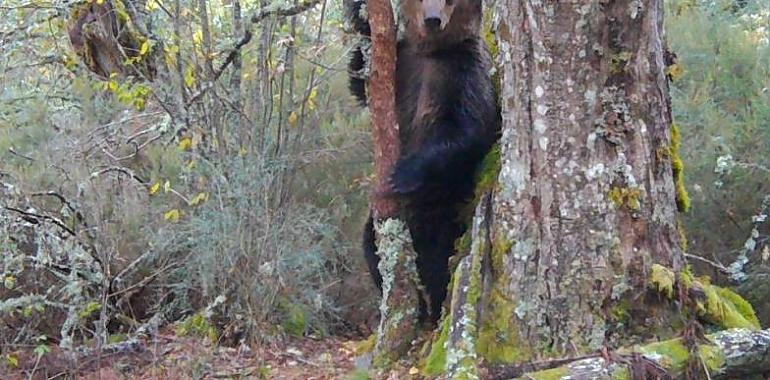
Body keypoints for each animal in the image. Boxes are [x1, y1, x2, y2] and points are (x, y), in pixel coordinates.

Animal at [346, 0, 498, 322]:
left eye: (451, 0)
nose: (433, 20)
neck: (431, 52)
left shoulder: (463, 72)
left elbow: (467, 130)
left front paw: (403, 173)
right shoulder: (402, 66)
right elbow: (359, 81)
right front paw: (361, 17)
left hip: (448, 210)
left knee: (441, 258)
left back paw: (433, 308)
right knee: (371, 246)